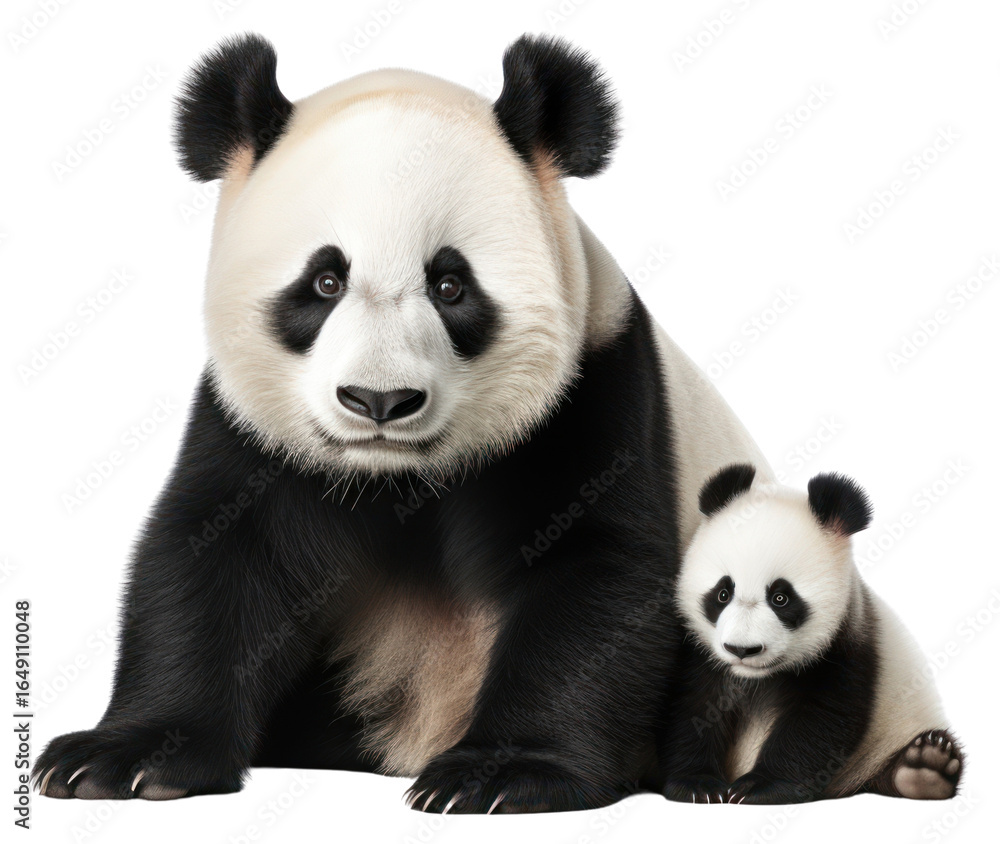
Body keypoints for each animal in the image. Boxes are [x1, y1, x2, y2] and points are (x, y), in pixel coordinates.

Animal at [33, 34, 773, 812]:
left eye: (450, 285)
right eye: (325, 281)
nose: (379, 401)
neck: (396, 476)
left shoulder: (594, 393)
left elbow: (595, 572)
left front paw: (499, 772)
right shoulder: (249, 430)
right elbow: (215, 557)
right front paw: (124, 757)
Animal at [659, 464, 964, 804]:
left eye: (781, 598)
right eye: (723, 593)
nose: (742, 649)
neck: (756, 678)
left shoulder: (847, 647)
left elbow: (819, 718)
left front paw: (758, 787)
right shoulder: (703, 653)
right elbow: (696, 707)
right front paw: (698, 785)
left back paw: (925, 768)